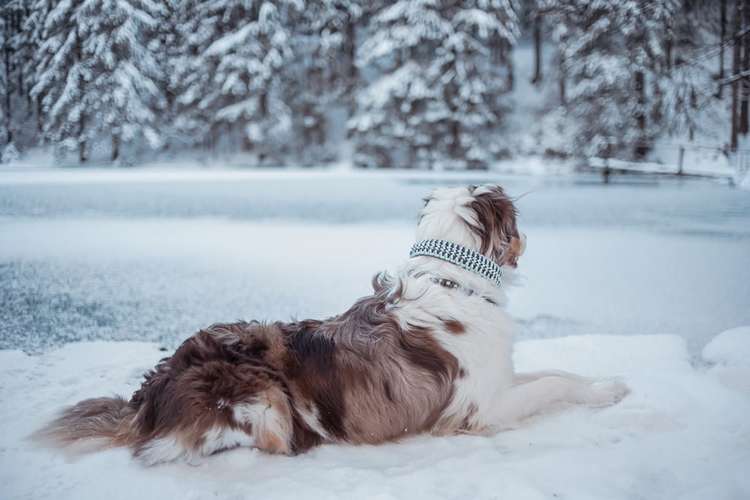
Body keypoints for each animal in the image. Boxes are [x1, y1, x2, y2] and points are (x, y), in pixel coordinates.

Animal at [35, 186, 628, 466]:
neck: (452, 281)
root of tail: (147, 397)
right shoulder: (477, 410)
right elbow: (551, 386)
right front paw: (606, 391)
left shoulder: (497, 381)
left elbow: (557, 373)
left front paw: (606, 383)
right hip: (263, 395)